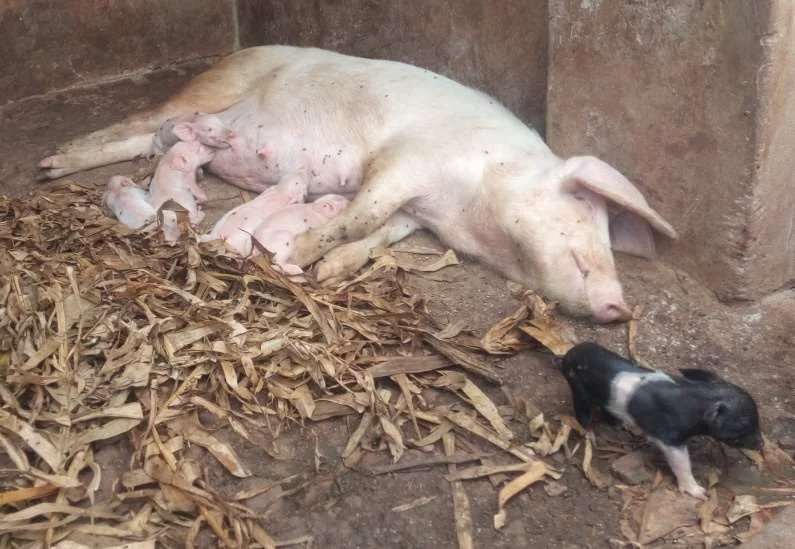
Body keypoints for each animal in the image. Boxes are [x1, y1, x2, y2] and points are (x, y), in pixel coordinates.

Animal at [39, 45, 678, 322]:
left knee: (149, 141)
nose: (622, 307)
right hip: (211, 88)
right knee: (138, 123)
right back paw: (52, 163)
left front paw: (329, 271)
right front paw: (300, 255)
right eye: (588, 213)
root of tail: (239, 50)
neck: (463, 212)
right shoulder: (403, 163)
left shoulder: (415, 213)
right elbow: (361, 216)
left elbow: (379, 236)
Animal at [558, 342, 763, 499]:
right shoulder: (670, 438)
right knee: (582, 413)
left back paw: (620, 425)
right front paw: (700, 493)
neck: (697, 402)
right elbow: (682, 464)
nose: (761, 444)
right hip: (578, 390)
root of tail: (568, 354)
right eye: (742, 428)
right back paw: (592, 437)